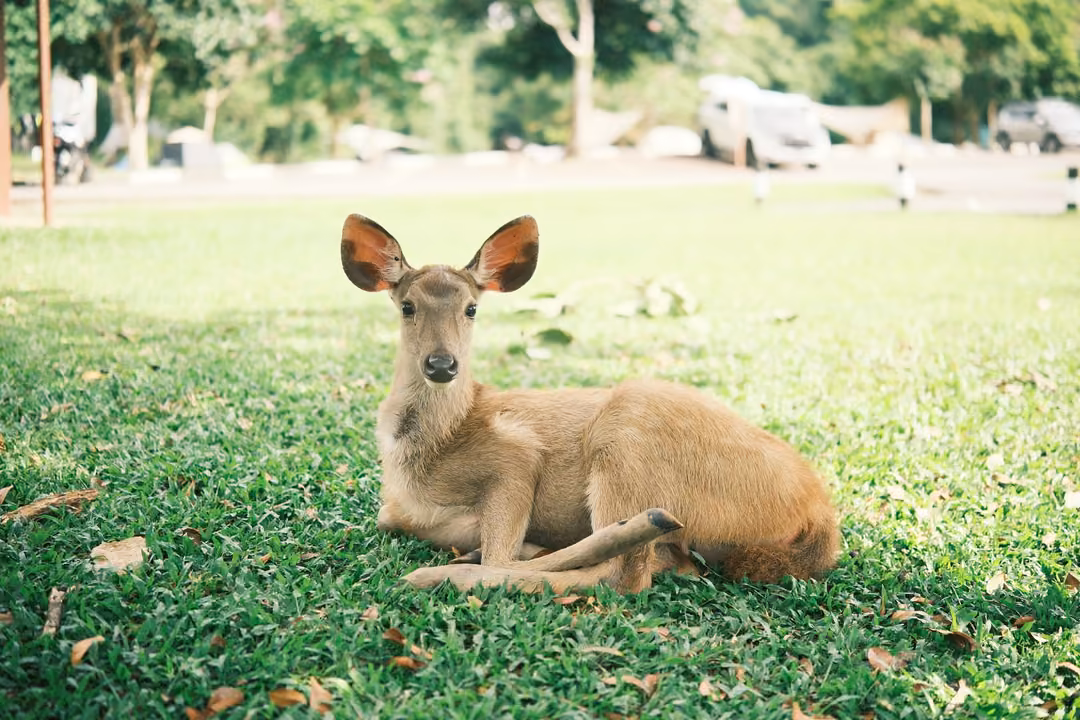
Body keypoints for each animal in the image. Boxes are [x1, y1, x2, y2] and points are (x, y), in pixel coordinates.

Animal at [340, 213, 840, 594]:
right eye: (407, 306)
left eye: (471, 308)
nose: (442, 365)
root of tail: (818, 513)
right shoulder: (396, 507)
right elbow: (388, 518)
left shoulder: (516, 455)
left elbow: (501, 546)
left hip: (626, 438)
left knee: (624, 573)